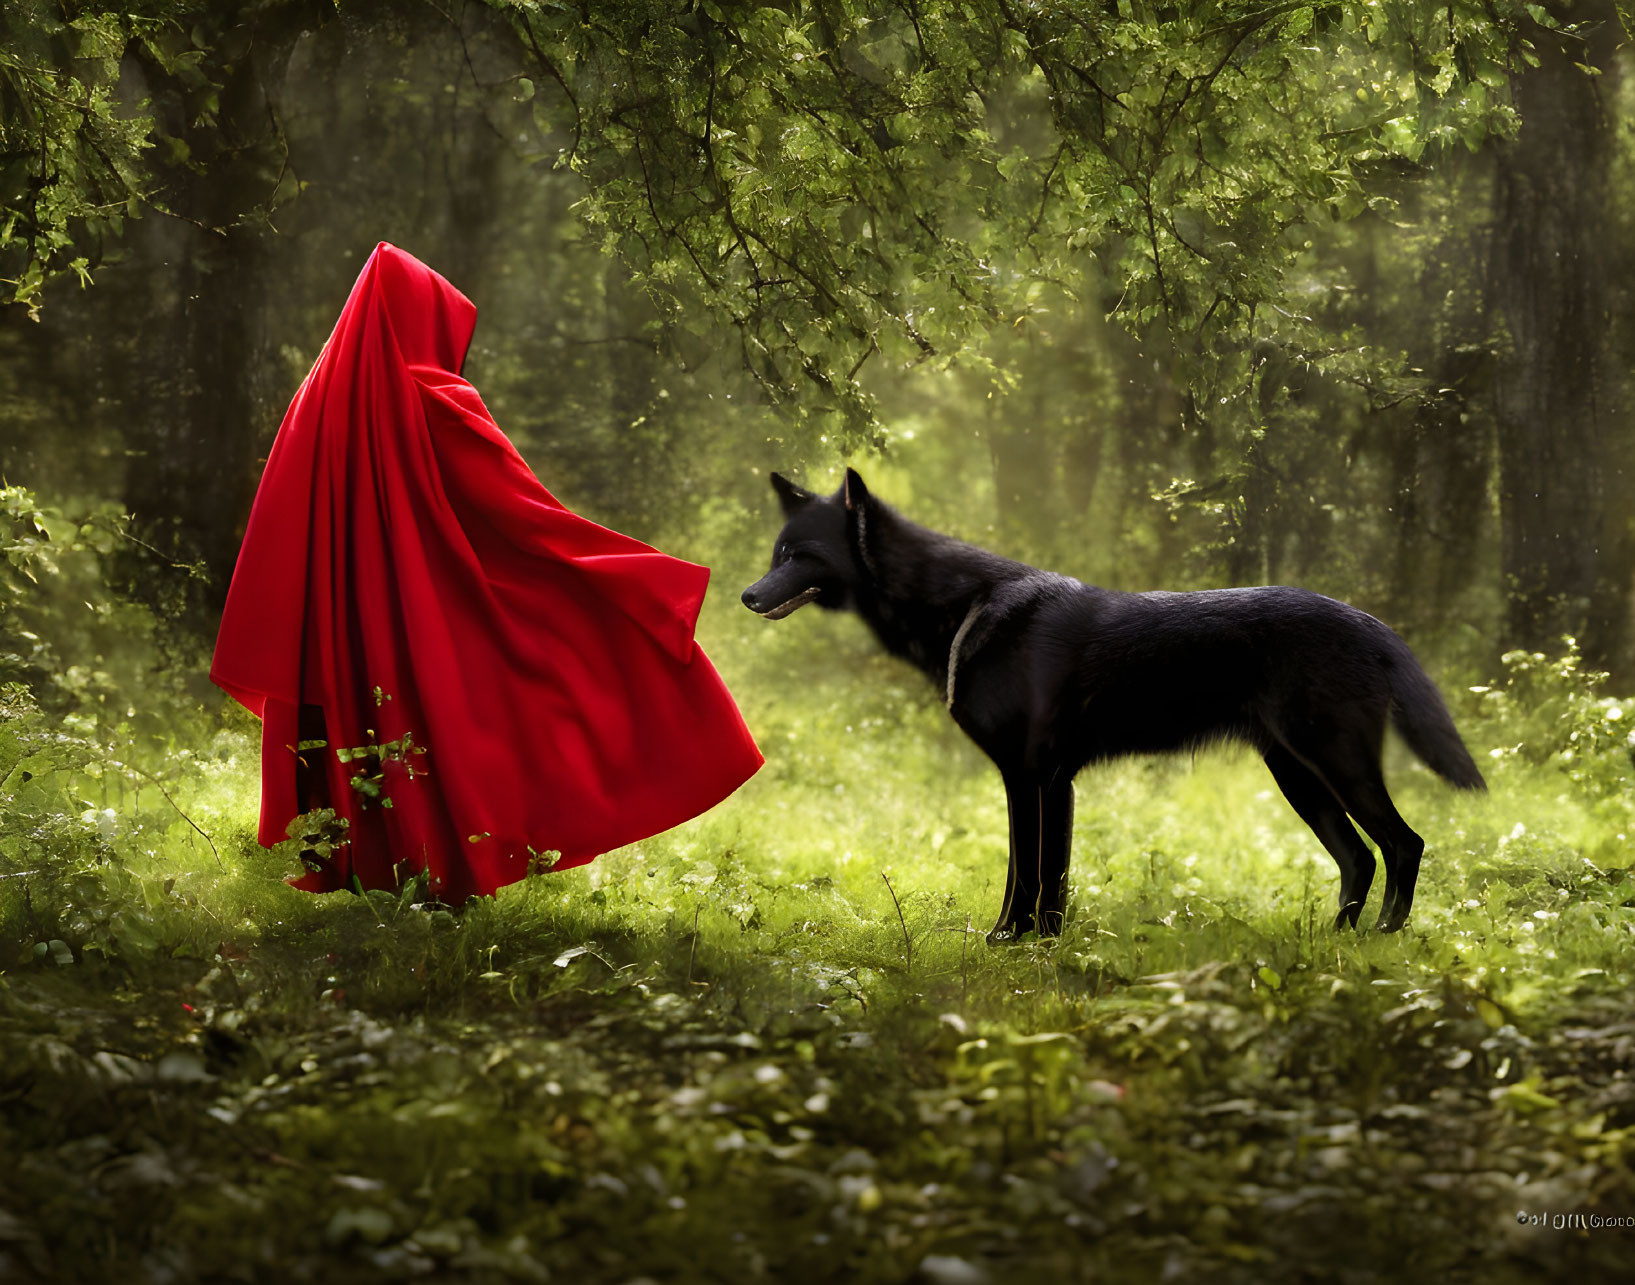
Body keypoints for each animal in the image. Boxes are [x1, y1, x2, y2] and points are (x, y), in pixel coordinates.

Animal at [748, 470, 1491, 941]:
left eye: (801, 554)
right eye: (776, 553)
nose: (748, 596)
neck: (964, 609)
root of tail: (1370, 622)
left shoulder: (1043, 778)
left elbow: (1041, 876)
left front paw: (1029, 945)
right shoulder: (1024, 779)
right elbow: (1025, 872)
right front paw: (1015, 941)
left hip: (1334, 763)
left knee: (1402, 843)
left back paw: (1381, 937)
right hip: (1297, 774)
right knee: (1358, 857)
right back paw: (1334, 940)